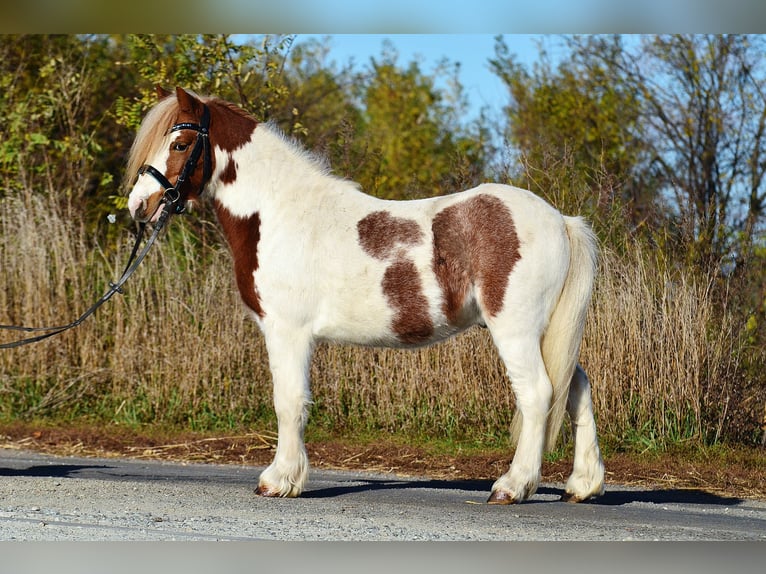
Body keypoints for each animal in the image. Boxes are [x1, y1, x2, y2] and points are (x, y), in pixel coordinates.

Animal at [126, 85, 608, 504]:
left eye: (181, 143)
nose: (138, 206)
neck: (278, 213)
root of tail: (561, 220)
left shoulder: (287, 331)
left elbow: (289, 402)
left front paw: (279, 480)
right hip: (549, 332)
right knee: (576, 387)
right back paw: (582, 485)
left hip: (516, 329)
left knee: (538, 393)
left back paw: (512, 486)